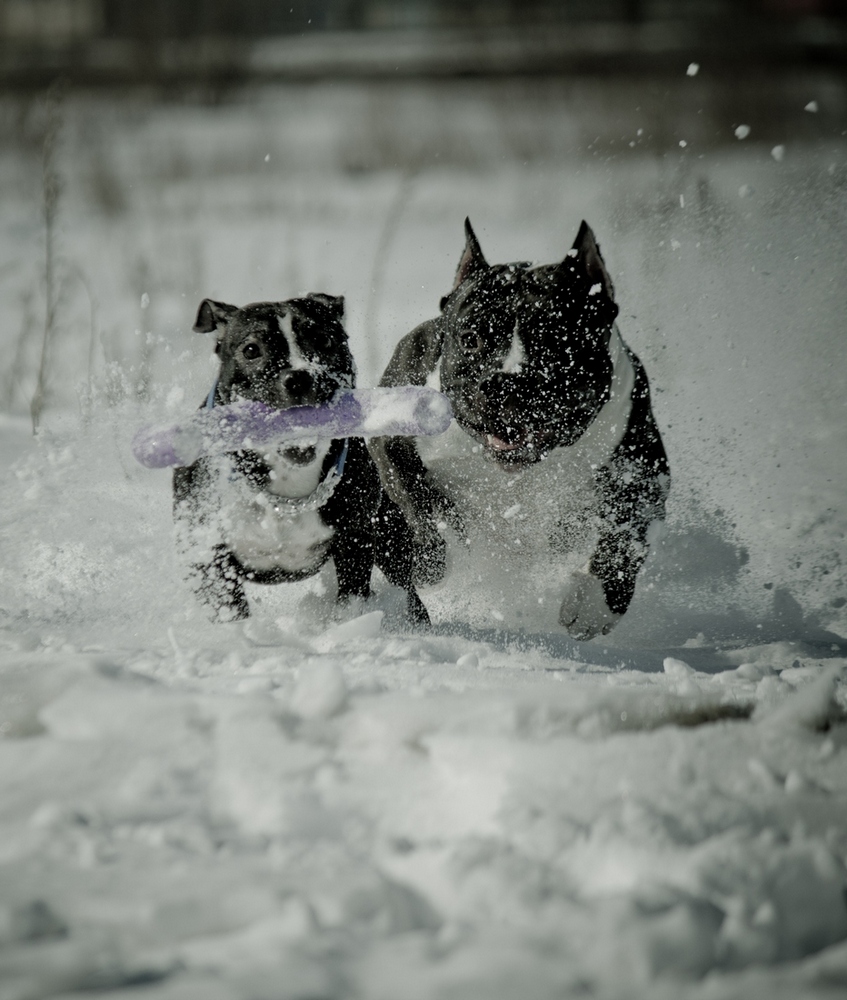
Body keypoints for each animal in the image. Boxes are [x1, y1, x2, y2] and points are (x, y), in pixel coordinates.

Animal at [173, 290, 430, 628]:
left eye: (323, 339)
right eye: (251, 349)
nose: (299, 378)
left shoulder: (355, 537)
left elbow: (350, 599)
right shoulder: (210, 553)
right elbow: (229, 607)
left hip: (391, 537)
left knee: (406, 586)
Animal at [370, 220, 668, 640]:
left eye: (557, 340)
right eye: (471, 338)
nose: (505, 382)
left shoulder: (643, 472)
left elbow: (623, 538)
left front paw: (593, 605)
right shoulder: (388, 439)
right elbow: (420, 499)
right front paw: (439, 553)